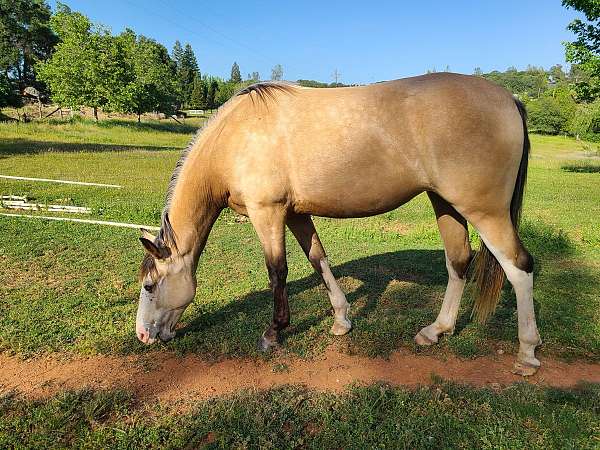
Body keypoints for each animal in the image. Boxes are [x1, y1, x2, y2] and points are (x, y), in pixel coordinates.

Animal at [138, 74, 540, 376]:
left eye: (149, 285)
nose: (143, 335)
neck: (236, 137)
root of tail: (509, 99)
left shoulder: (267, 212)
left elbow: (277, 271)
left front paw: (274, 332)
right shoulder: (296, 213)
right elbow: (318, 260)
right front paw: (342, 320)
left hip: (485, 211)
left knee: (519, 267)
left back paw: (527, 353)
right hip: (446, 205)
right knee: (458, 261)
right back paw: (436, 330)